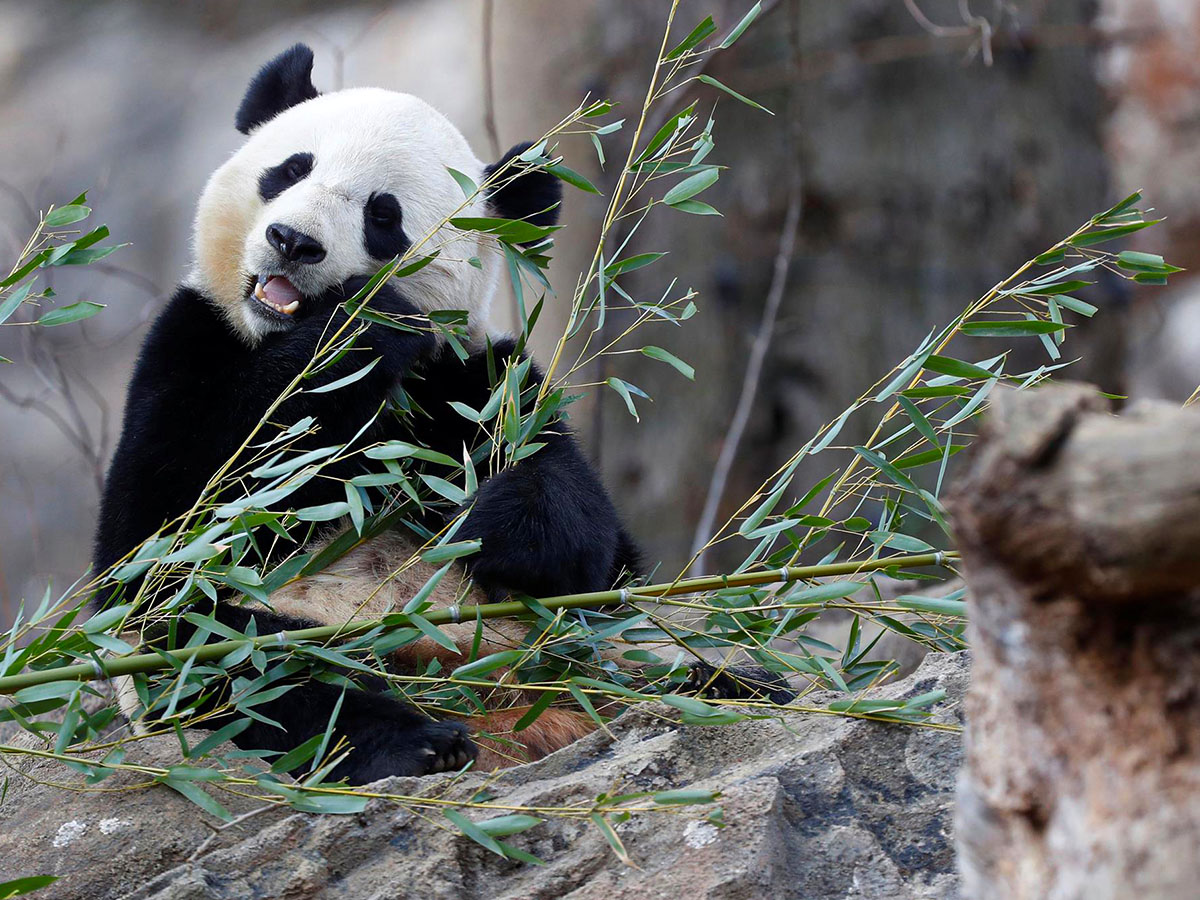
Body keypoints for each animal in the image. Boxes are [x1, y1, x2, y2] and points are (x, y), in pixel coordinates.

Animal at [97, 45, 648, 787]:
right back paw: (412, 740)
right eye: (291, 169)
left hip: (578, 640)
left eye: (382, 216)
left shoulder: (472, 381)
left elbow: (584, 532)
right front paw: (358, 332)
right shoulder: (191, 342)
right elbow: (157, 530)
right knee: (238, 662)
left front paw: (495, 528)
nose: (292, 241)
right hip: (254, 634)